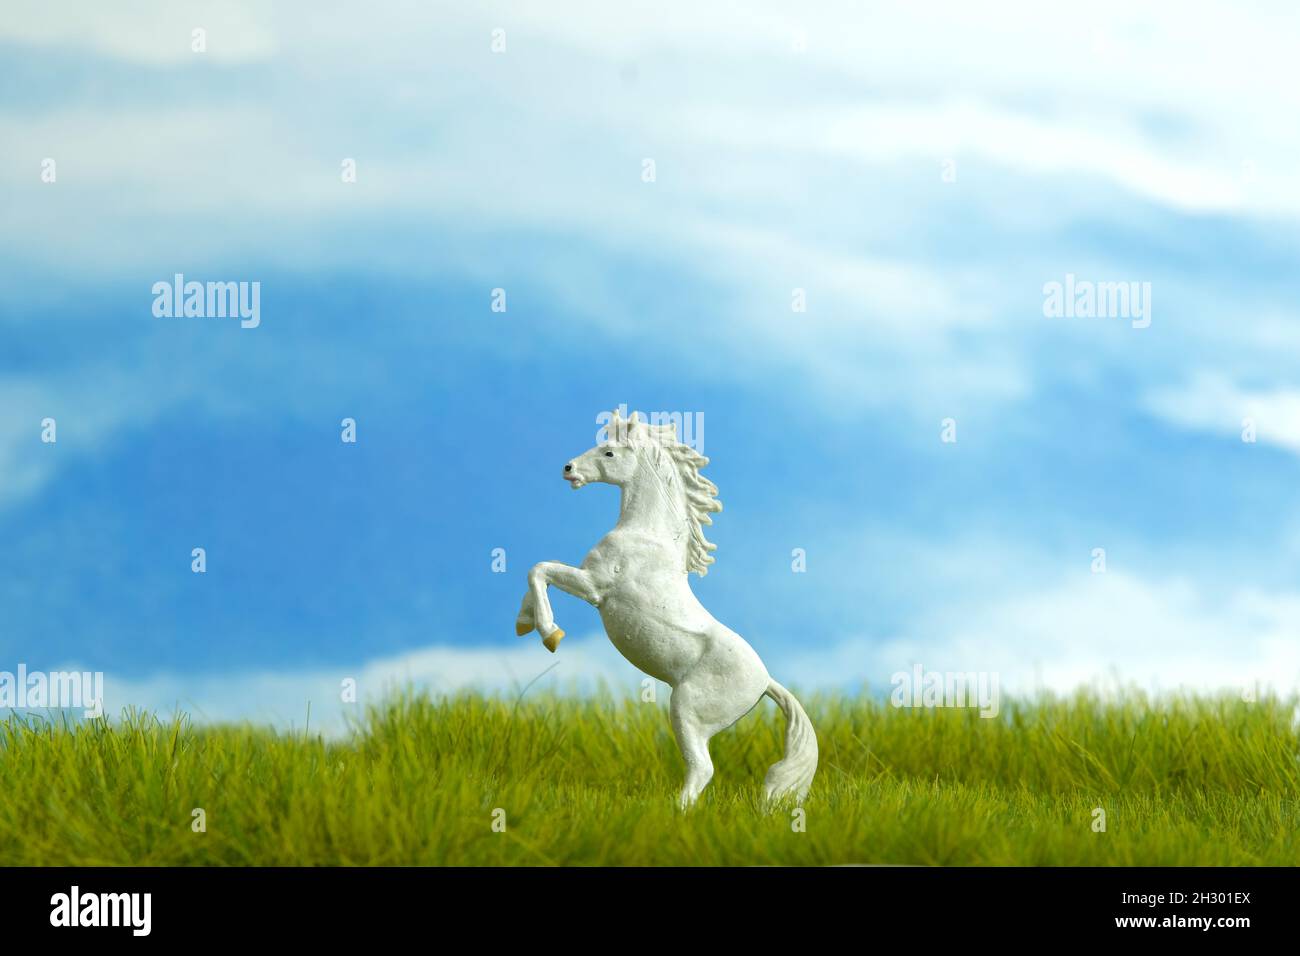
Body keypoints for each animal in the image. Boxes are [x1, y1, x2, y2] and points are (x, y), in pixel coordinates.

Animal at [514, 411, 811, 806]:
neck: (646, 535)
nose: (568, 468)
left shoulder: (595, 587)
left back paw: (673, 812)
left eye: (609, 452)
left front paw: (551, 634)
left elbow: (540, 569)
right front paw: (524, 622)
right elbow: (540, 572)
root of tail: (766, 682)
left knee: (702, 768)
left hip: (688, 711)